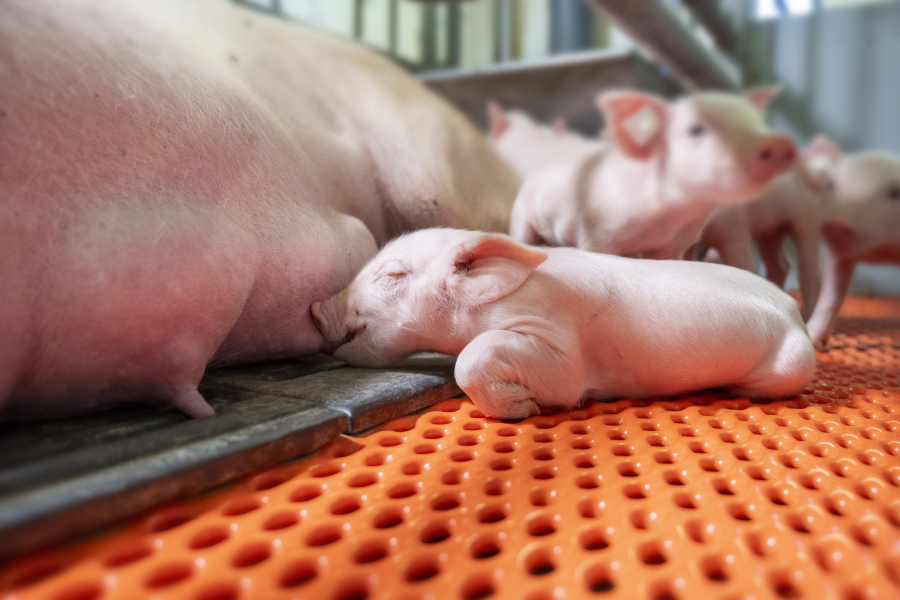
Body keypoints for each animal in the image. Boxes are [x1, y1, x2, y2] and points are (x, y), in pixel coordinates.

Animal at [312, 227, 820, 420]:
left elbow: (475, 358)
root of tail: (793, 311)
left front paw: (525, 408)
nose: (316, 308)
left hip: (792, 365)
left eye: (392, 276)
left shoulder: (558, 345)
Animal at [510, 90, 800, 258]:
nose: (779, 140)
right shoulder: (596, 233)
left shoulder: (674, 243)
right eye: (695, 129)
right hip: (522, 218)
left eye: (759, 123)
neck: (668, 218)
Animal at [704, 137, 836, 322]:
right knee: (779, 266)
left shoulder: (735, 234)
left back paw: (806, 317)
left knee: (809, 271)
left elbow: (744, 268)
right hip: (769, 233)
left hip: (807, 224)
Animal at [804, 148, 900, 346]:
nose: (838, 223)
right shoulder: (839, 257)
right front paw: (813, 340)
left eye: (895, 193)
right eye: (830, 185)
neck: (879, 251)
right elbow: (831, 294)